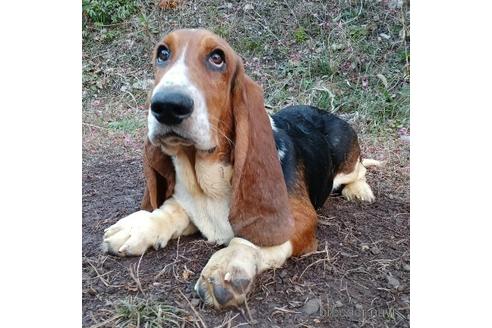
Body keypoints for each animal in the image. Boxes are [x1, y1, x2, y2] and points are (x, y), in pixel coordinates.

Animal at [103, 28, 380, 310]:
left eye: (217, 58)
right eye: (162, 53)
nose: (168, 105)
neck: (206, 177)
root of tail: (326, 112)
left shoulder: (299, 217)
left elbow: (253, 237)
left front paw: (230, 264)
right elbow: (169, 211)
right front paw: (138, 226)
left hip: (345, 158)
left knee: (359, 169)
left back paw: (359, 191)